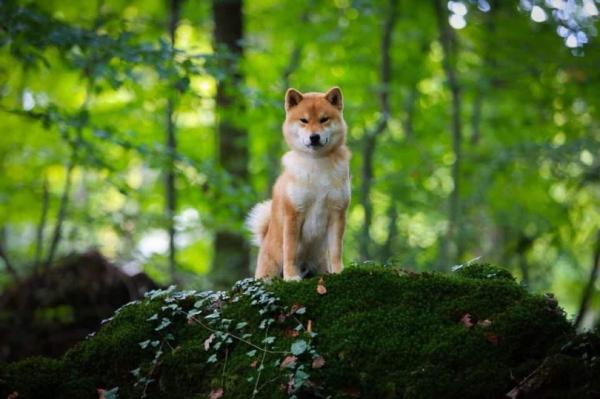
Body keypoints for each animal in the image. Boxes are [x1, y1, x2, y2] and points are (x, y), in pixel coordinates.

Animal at [245, 87, 350, 282]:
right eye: (304, 120)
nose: (314, 137)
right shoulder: (293, 214)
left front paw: (339, 272)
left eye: (324, 119)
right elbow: (290, 251)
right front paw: (291, 276)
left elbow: (336, 251)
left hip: (319, 264)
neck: (317, 165)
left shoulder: (337, 213)